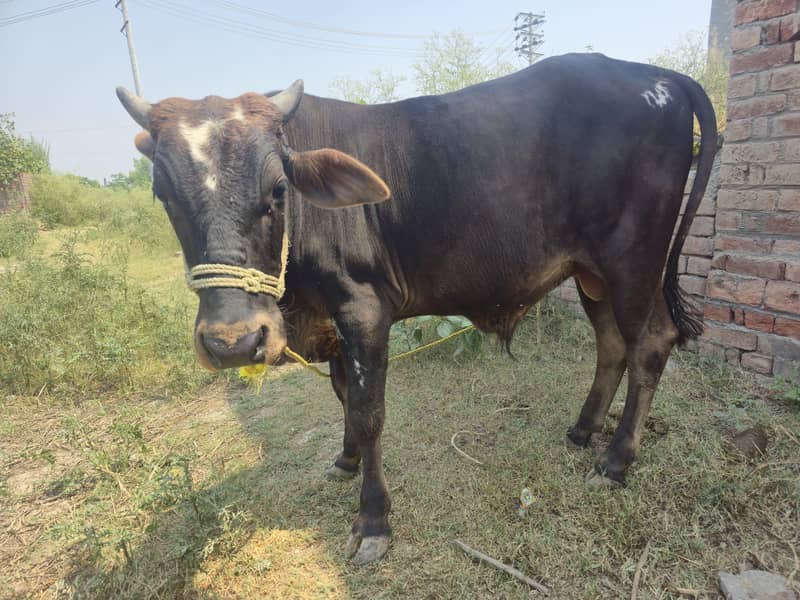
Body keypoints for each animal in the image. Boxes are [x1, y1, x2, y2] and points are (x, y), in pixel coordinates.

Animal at [116, 53, 717, 565]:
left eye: (279, 189)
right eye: (163, 194)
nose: (233, 342)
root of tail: (656, 73)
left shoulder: (363, 310)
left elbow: (368, 411)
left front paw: (373, 521)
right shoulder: (335, 323)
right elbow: (343, 397)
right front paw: (346, 459)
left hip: (633, 261)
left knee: (651, 344)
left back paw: (614, 462)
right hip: (591, 274)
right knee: (612, 344)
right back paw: (583, 430)